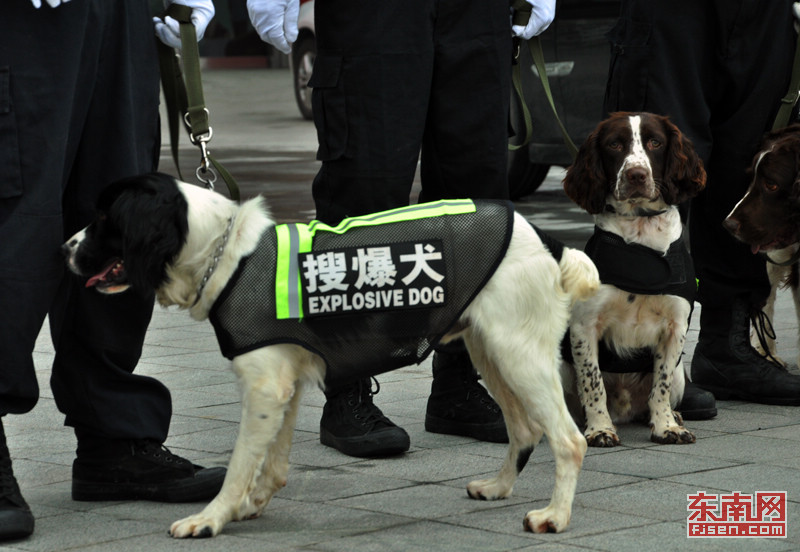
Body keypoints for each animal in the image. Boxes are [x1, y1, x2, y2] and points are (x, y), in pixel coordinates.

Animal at [62, 171, 600, 536]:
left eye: (105, 219)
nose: (64, 248)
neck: (228, 252)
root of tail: (546, 238)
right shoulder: (285, 384)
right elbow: (272, 462)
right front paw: (250, 504)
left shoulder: (264, 388)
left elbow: (239, 466)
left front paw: (212, 517)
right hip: (491, 350)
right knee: (526, 430)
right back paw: (498, 487)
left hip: (517, 355)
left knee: (569, 440)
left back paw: (556, 515)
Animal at [564, 112, 708, 448]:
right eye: (614, 144)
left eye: (655, 142)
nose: (637, 175)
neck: (641, 229)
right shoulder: (584, 326)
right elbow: (593, 383)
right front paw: (599, 430)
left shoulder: (675, 327)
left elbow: (661, 385)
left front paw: (666, 427)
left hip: (682, 374)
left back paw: (672, 416)